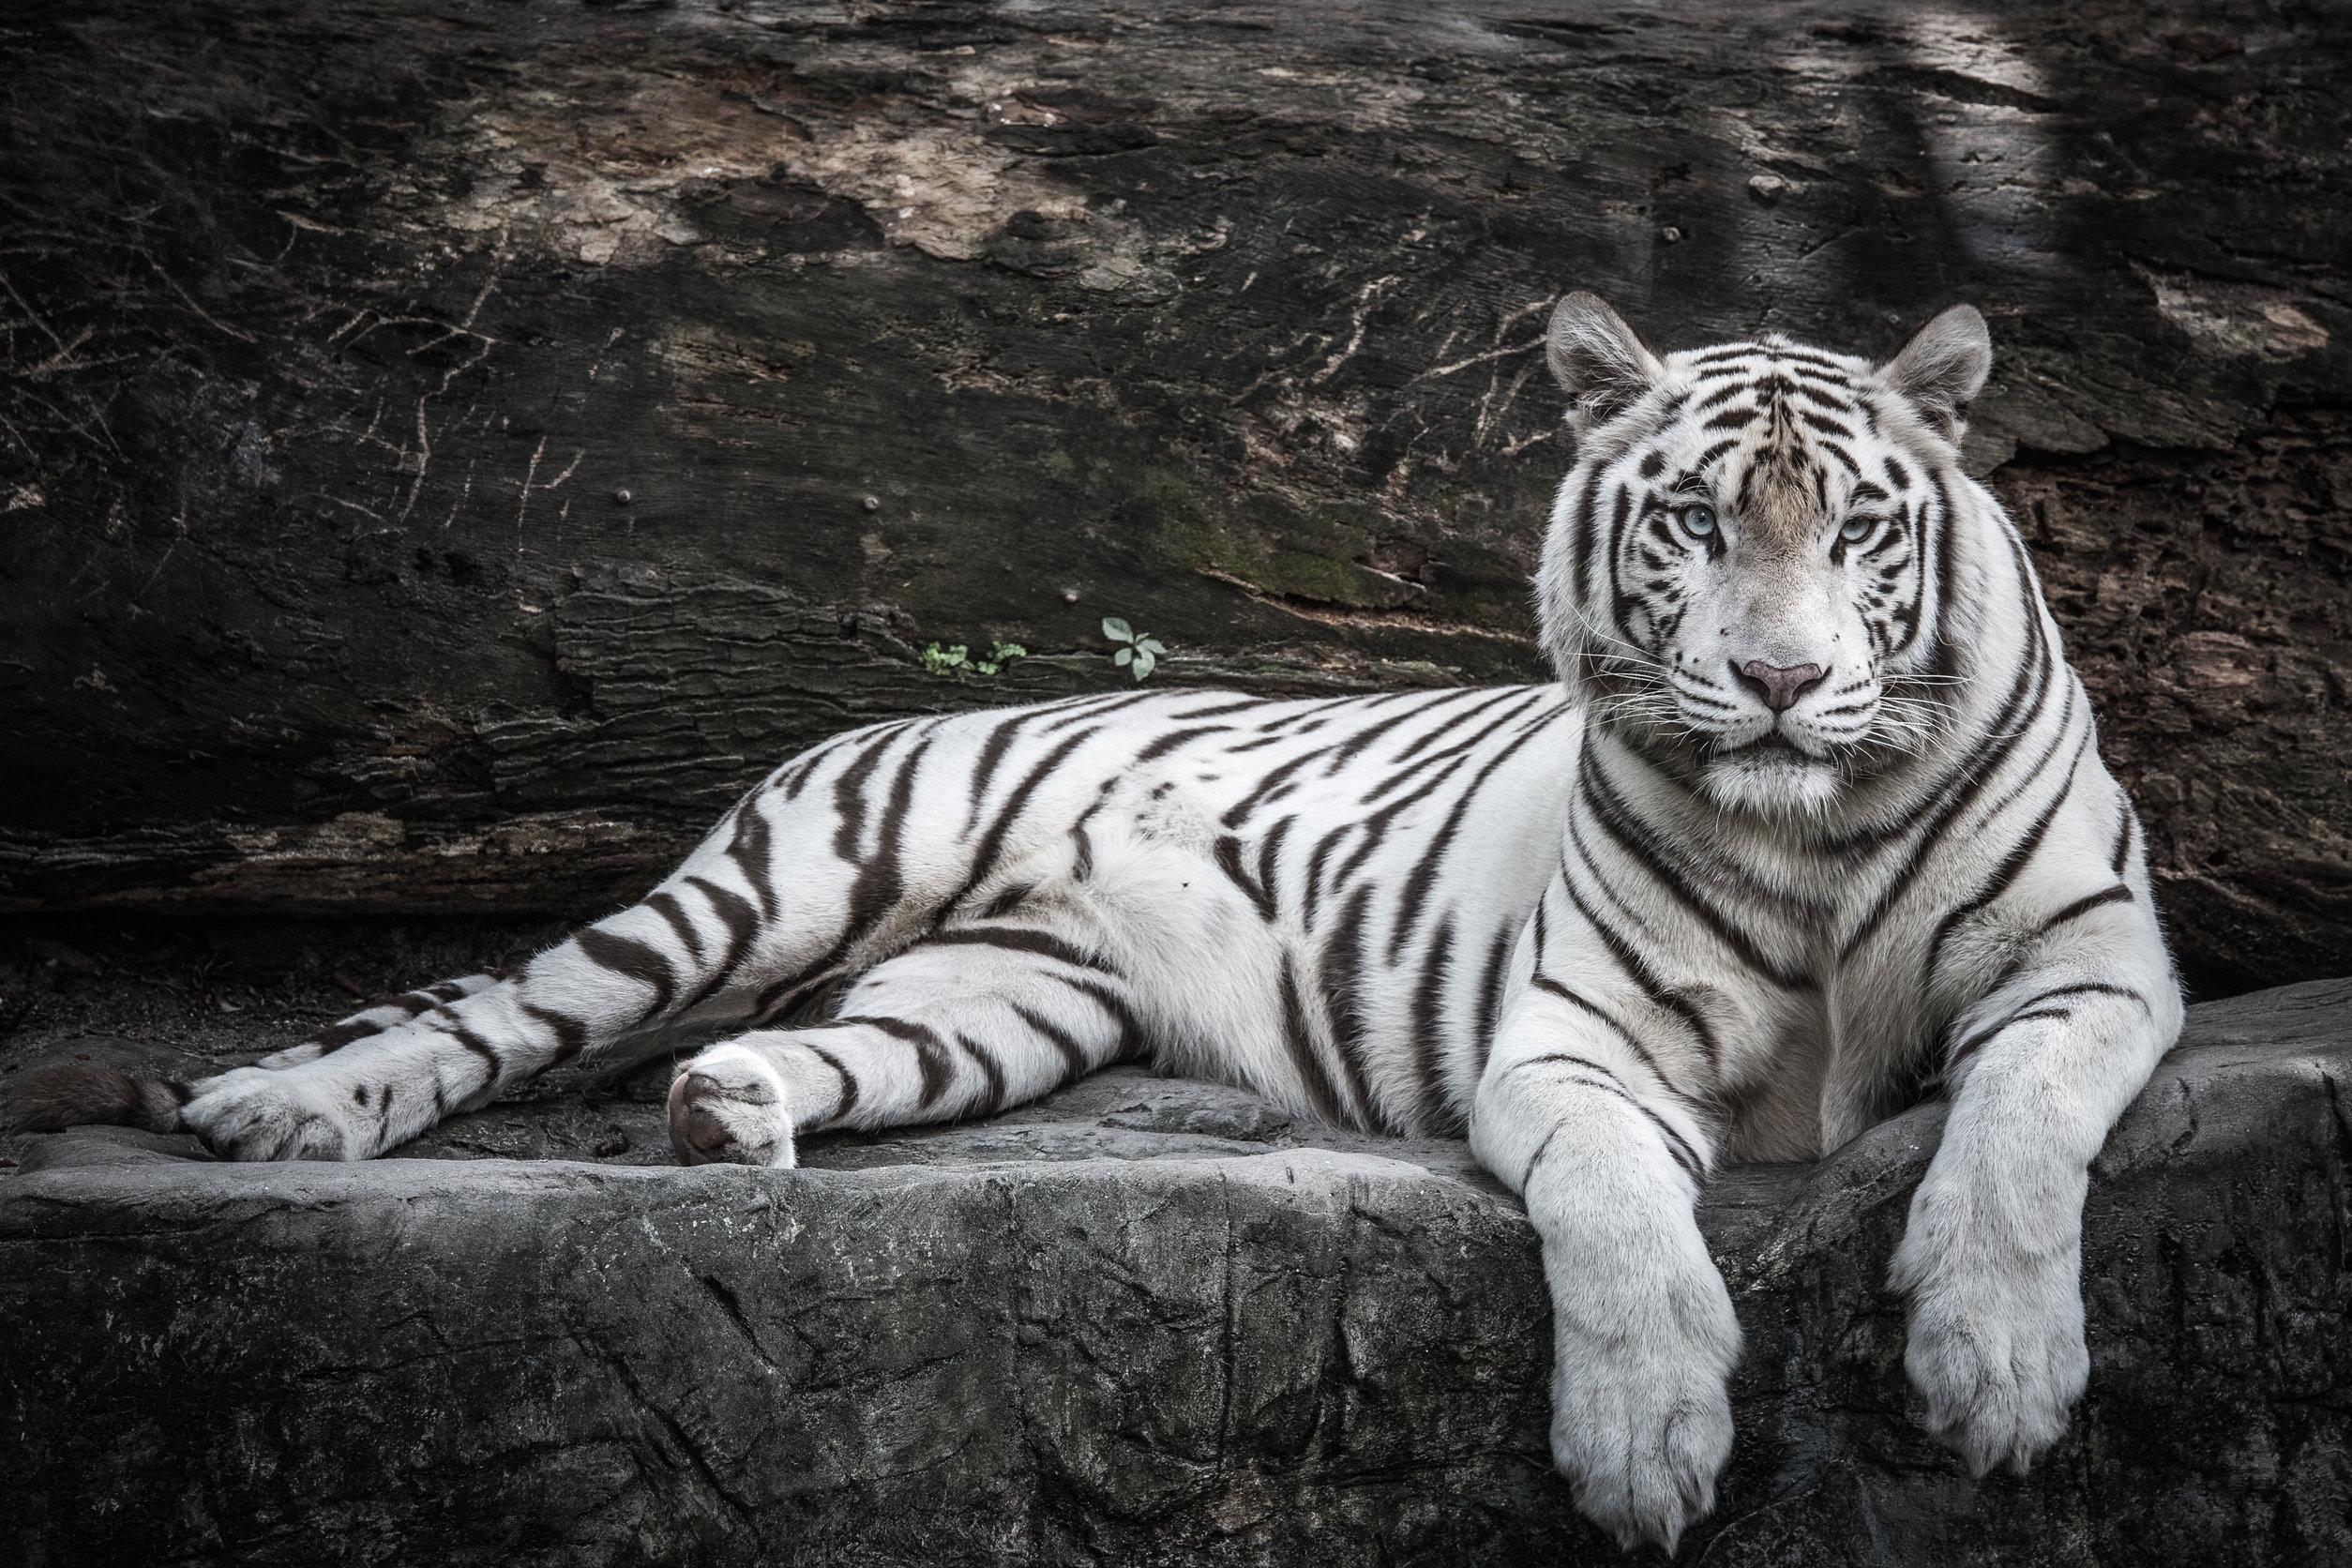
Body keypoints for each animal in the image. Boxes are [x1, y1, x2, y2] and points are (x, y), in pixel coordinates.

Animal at [12, 295, 2182, 1552]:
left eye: (1859, 529)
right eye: (1695, 522)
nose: (1786, 684)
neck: (1811, 830)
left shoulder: (2088, 958)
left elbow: (2013, 1137)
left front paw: (1995, 1375)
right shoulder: (1573, 1043)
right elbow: (1619, 1221)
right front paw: (1647, 1444)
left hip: (992, 1005)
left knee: (809, 1052)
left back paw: (728, 1117)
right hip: (779, 880)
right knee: (493, 1011)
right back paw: (283, 1115)